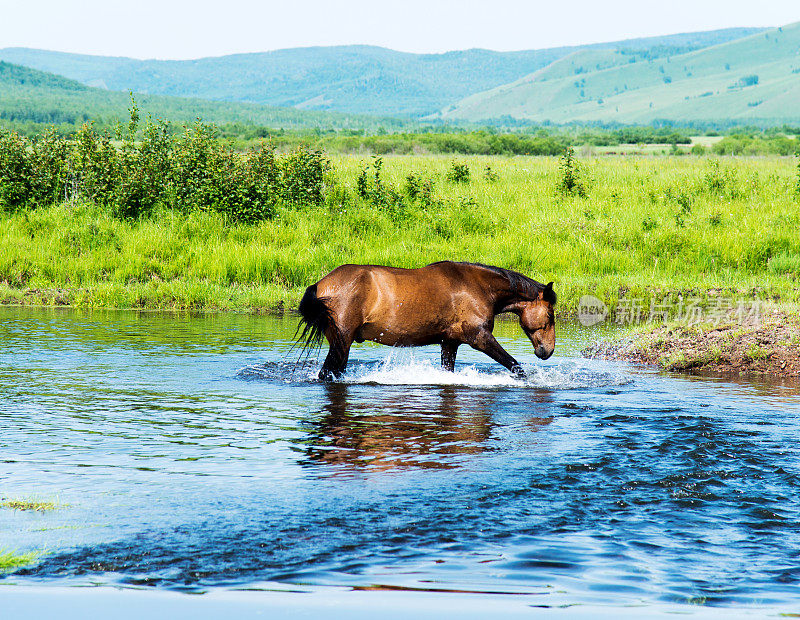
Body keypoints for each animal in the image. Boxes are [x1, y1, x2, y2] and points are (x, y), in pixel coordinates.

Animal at [296, 260, 556, 380]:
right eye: (550, 315)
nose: (548, 350)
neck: (478, 287)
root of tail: (321, 284)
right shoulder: (480, 338)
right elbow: (516, 367)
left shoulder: (450, 342)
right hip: (342, 342)